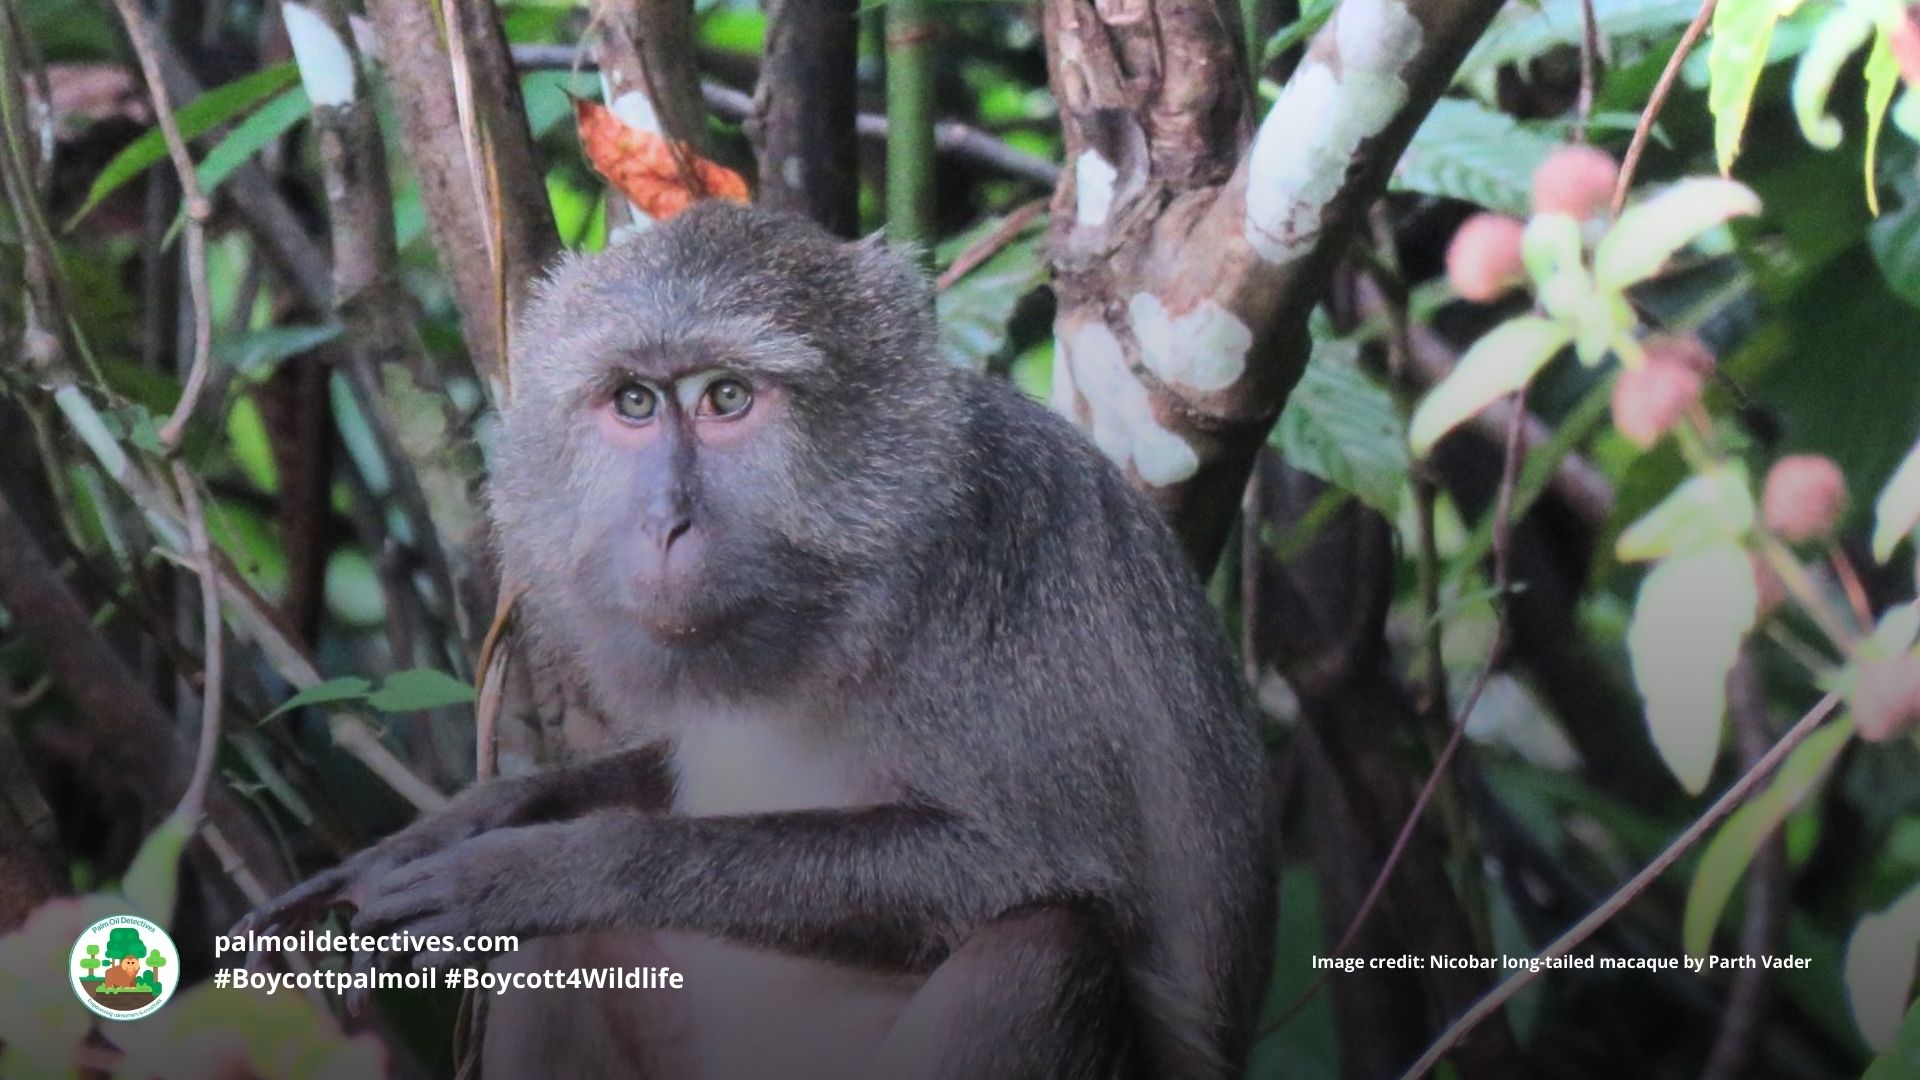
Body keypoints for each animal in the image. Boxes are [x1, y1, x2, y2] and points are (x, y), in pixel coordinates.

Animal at [242, 203, 1275, 1080]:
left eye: (727, 397)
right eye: (635, 403)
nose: (664, 520)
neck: (848, 588)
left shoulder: (997, 568)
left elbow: (1038, 859)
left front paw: (554, 869)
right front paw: (481, 816)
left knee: (1040, 949)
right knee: (566, 957)